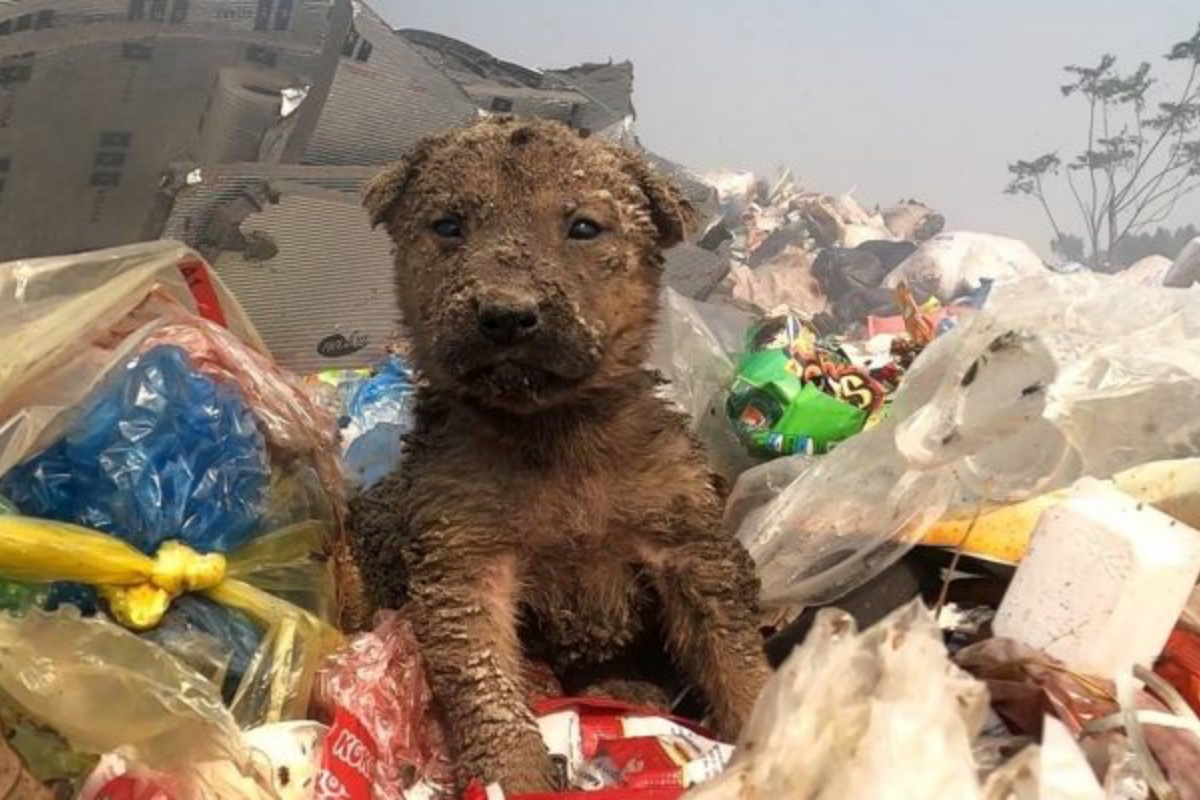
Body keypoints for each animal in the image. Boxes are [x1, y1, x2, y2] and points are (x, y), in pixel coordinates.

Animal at [357, 115, 768, 791]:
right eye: (449, 225)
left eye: (583, 227)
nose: (506, 315)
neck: (553, 434)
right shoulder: (465, 558)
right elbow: (486, 686)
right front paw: (512, 776)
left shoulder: (687, 541)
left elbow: (732, 651)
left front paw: (777, 716)